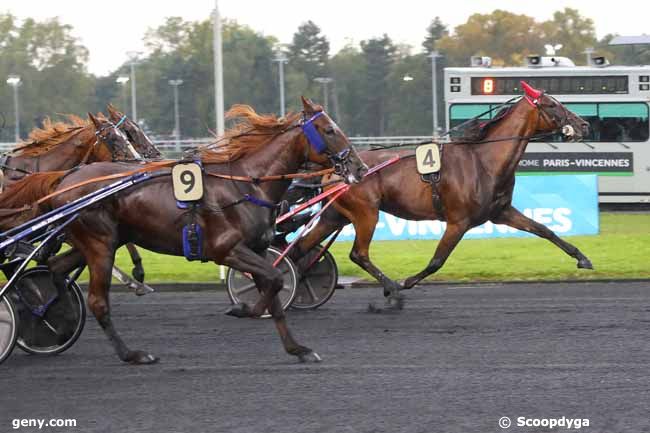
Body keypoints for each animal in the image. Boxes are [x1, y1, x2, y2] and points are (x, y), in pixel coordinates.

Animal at [0, 97, 368, 362]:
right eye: (329, 130)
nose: (360, 167)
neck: (245, 182)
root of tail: (66, 178)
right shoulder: (226, 249)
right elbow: (275, 280)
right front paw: (242, 309)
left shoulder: (259, 249)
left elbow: (275, 289)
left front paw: (296, 348)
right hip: (100, 243)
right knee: (97, 301)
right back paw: (131, 353)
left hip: (99, 240)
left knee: (57, 267)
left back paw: (55, 319)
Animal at [294, 81, 592, 304]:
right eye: (551, 104)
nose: (584, 125)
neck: (483, 161)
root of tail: (337, 169)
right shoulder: (458, 222)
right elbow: (437, 260)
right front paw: (405, 282)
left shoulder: (502, 212)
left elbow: (544, 229)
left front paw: (582, 258)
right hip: (366, 213)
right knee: (358, 254)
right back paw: (391, 288)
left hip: (335, 215)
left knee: (301, 248)